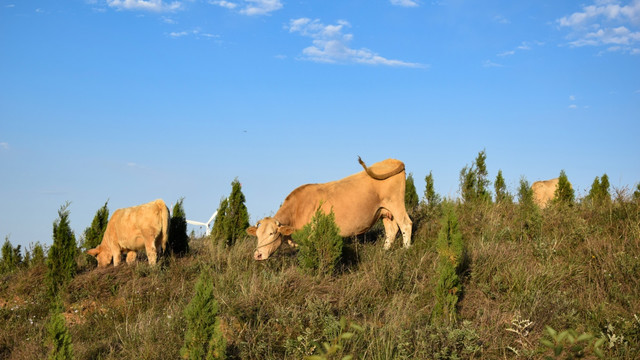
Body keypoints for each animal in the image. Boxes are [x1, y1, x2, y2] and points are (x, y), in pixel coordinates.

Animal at [248, 156, 412, 260]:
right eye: (257, 235)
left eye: (272, 233)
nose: (257, 255)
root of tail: (393, 160)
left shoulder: (312, 234)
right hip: (385, 211)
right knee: (392, 230)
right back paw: (385, 252)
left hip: (396, 203)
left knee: (406, 224)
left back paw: (406, 250)